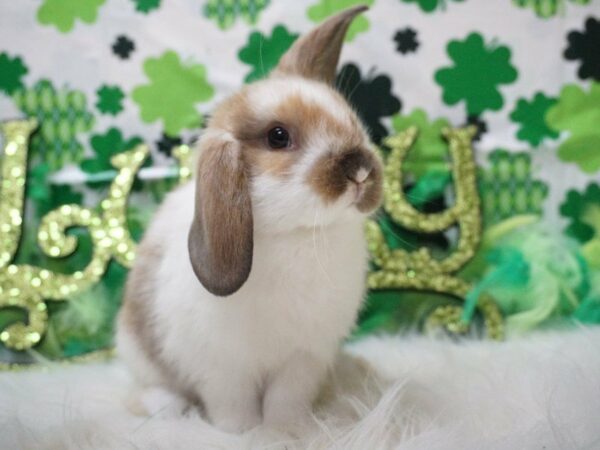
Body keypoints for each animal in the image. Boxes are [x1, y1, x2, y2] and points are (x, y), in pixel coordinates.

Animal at [115, 6, 382, 436]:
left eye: (349, 117)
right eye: (278, 137)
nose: (359, 171)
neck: (296, 234)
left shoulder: (303, 359)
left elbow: (285, 401)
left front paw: (288, 431)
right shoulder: (223, 368)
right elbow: (233, 404)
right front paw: (240, 433)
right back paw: (165, 409)